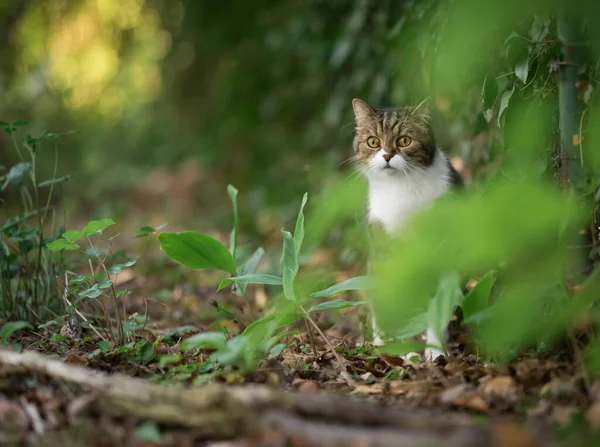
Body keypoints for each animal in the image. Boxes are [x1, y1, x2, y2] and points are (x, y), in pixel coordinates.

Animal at [352, 99, 464, 364]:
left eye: (404, 140)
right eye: (373, 141)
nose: (387, 155)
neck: (401, 189)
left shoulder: (439, 249)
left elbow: (437, 307)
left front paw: (436, 351)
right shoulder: (386, 253)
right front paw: (404, 350)